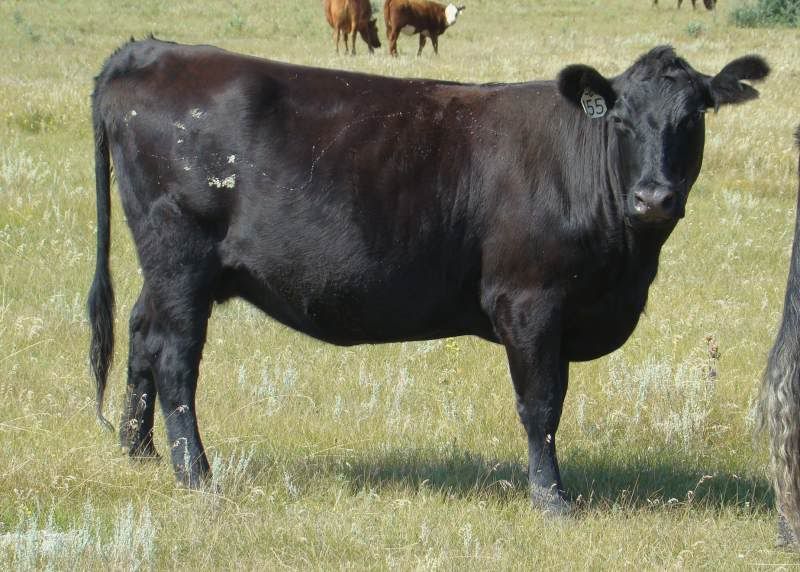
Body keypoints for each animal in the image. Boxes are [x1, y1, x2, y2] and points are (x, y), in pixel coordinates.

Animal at [89, 39, 768, 512]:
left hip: (166, 268)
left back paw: (136, 450)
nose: (653, 198)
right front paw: (552, 500)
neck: (627, 265)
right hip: (181, 255)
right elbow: (541, 405)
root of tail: (149, 51)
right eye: (621, 120)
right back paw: (196, 474)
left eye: (694, 117)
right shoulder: (529, 302)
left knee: (141, 334)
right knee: (174, 356)